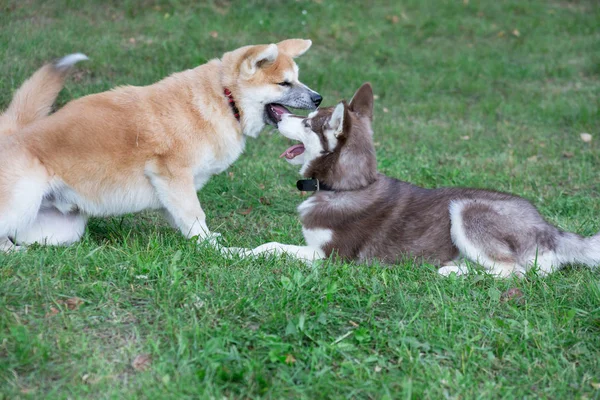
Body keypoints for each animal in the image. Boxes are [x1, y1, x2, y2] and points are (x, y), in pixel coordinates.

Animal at [0, 38, 322, 250]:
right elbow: (195, 216)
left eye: (298, 79)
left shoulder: (172, 189)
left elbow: (186, 218)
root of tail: (12, 136)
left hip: (61, 229)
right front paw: (215, 251)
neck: (224, 97)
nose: (318, 98)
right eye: (284, 83)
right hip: (21, 202)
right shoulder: (173, 175)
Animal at [239, 83, 600, 278]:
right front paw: (237, 250)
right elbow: (266, 245)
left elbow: (273, 248)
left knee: (513, 271)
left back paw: (453, 272)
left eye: (308, 123)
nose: (278, 114)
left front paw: (239, 253)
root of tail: (548, 227)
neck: (345, 187)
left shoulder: (331, 257)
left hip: (467, 209)